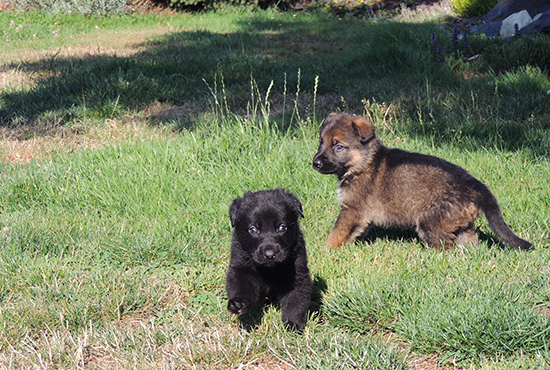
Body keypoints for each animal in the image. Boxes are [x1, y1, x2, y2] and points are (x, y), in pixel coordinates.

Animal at [224, 189, 310, 330]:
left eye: (282, 227)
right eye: (253, 229)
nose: (269, 254)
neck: (269, 269)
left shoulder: (298, 274)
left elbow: (295, 302)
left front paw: (292, 324)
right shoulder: (240, 268)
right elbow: (241, 286)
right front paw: (238, 304)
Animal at [314, 112, 536, 251]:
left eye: (338, 146)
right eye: (321, 142)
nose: (315, 163)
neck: (363, 161)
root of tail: (476, 186)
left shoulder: (352, 209)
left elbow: (337, 232)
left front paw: (327, 251)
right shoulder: (360, 215)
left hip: (431, 221)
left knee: (446, 245)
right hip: (459, 222)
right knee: (468, 240)